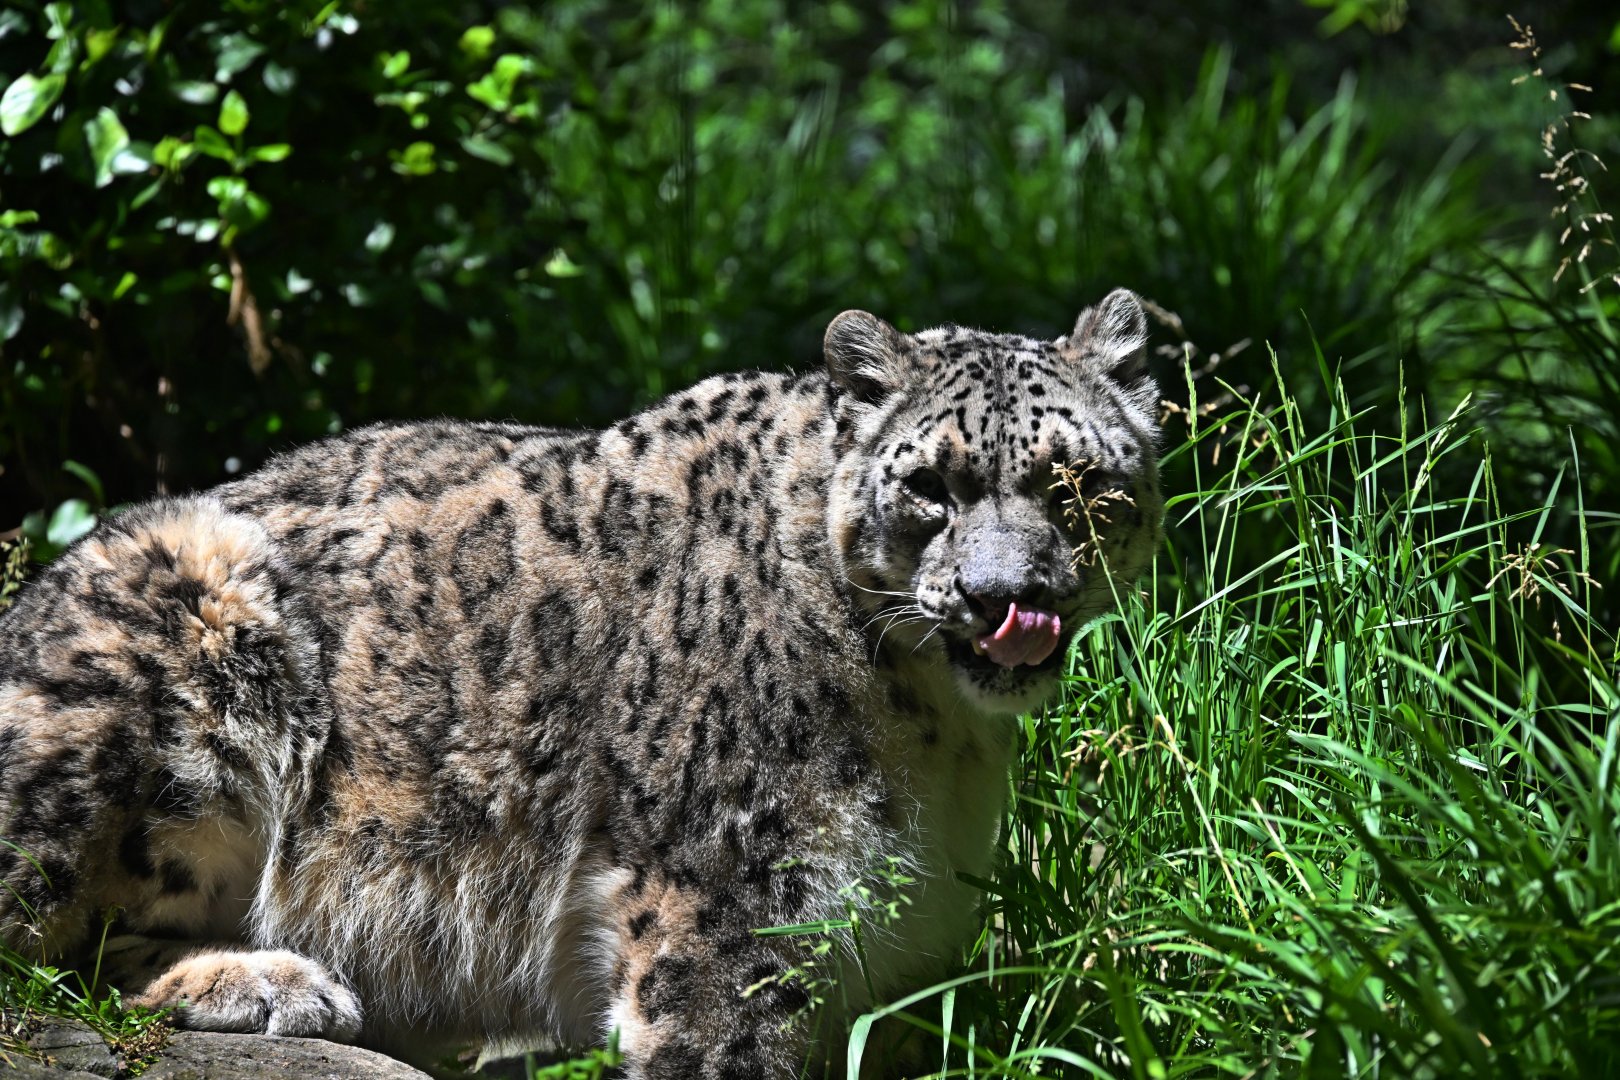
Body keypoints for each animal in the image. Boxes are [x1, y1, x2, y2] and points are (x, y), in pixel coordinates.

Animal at [0, 288, 1164, 1077]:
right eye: (931, 487)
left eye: (1076, 478)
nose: (1007, 598)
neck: (942, 742)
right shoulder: (727, 914)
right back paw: (280, 983)